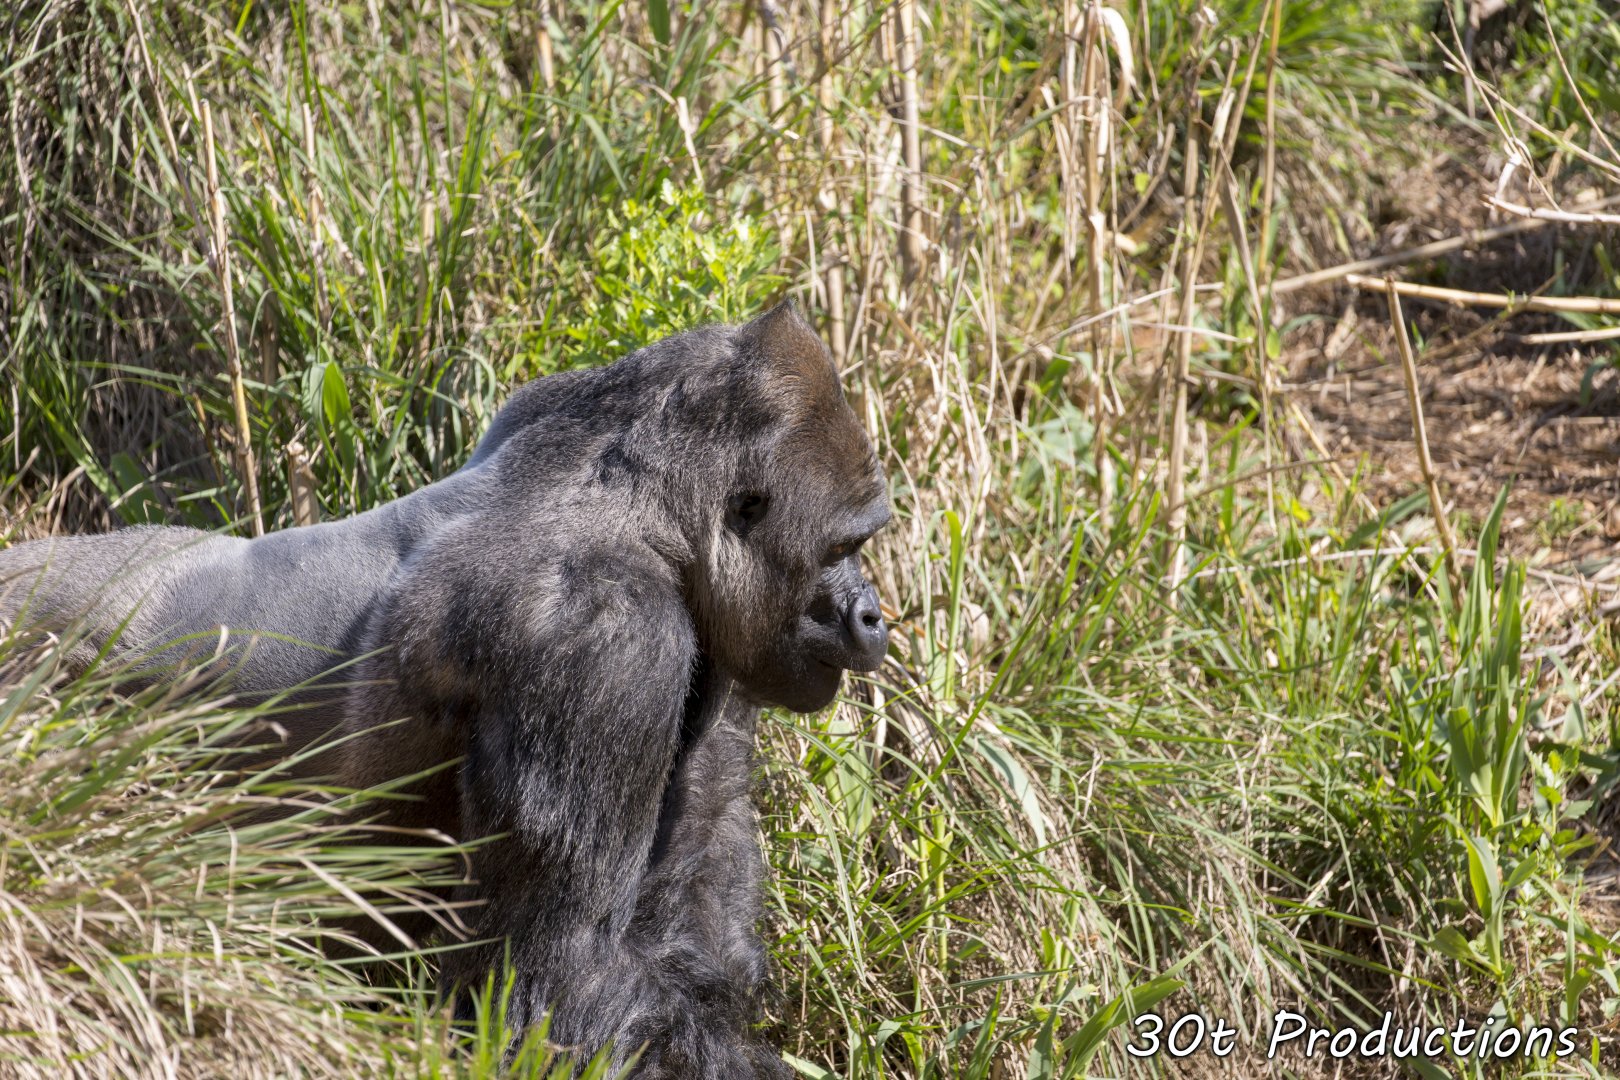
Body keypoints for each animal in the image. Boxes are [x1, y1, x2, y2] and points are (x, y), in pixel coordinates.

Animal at [0, 301, 892, 1078]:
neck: (646, 508)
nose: (873, 614)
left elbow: (697, 865)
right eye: (842, 546)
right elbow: (567, 982)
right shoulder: (600, 636)